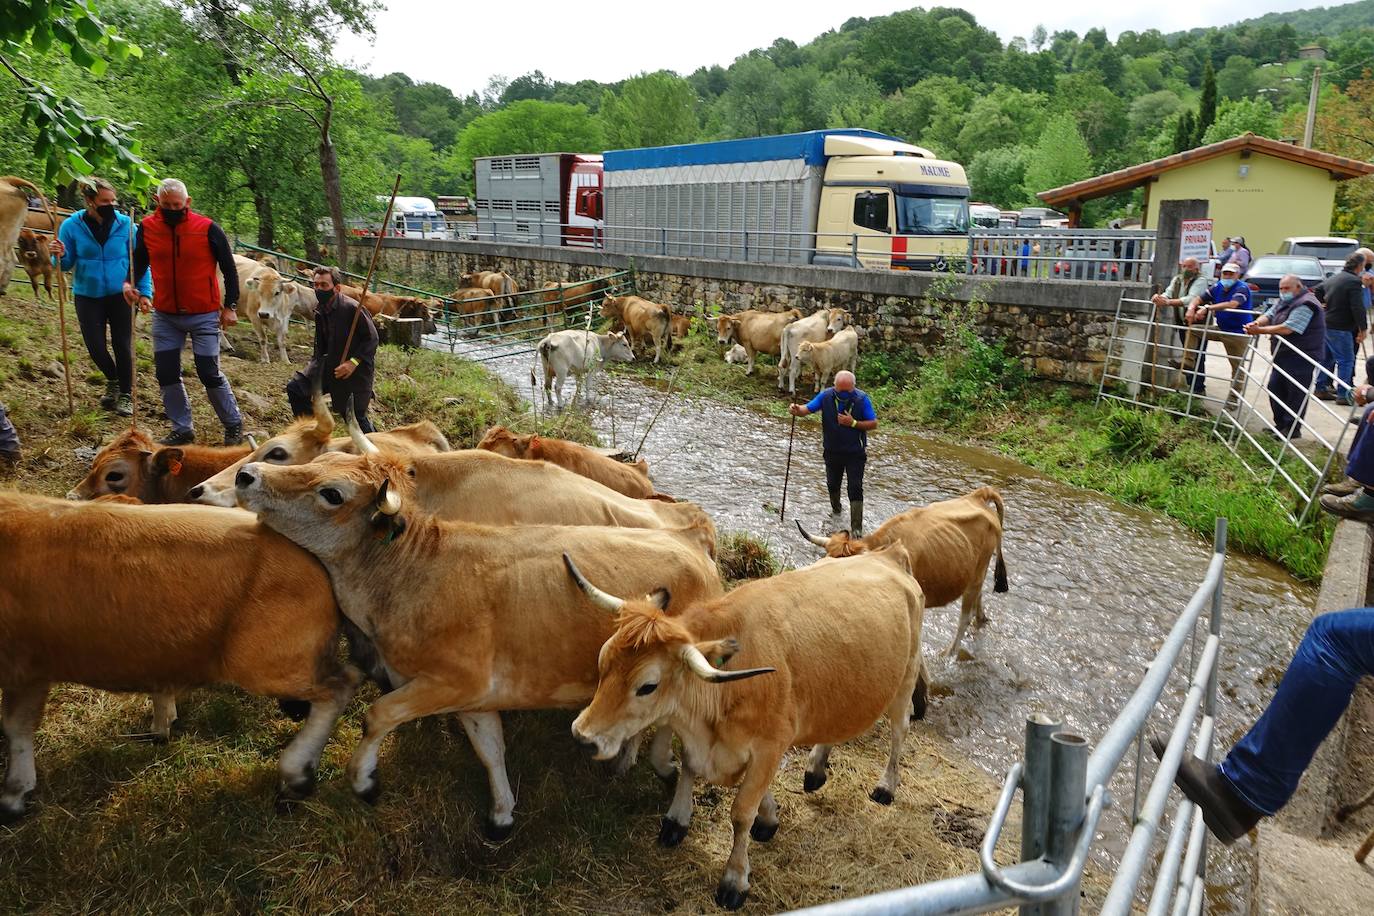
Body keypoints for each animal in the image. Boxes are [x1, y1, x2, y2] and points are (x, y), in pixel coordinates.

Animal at [0, 494, 359, 823]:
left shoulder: (24, 666)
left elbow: (16, 726)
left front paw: (14, 794)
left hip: (268, 661)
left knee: (340, 687)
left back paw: (296, 774)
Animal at [563, 543, 928, 911]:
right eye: (602, 659)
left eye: (648, 686)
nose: (583, 736)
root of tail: (889, 554)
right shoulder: (709, 743)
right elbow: (690, 769)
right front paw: (682, 819)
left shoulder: (771, 744)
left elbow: (741, 812)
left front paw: (735, 878)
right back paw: (816, 768)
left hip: (905, 679)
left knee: (900, 731)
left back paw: (886, 786)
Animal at [796, 483, 1011, 656]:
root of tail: (978, 495)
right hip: (975, 572)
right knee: (978, 599)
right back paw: (981, 620)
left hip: (978, 572)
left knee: (964, 618)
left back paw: (948, 654)